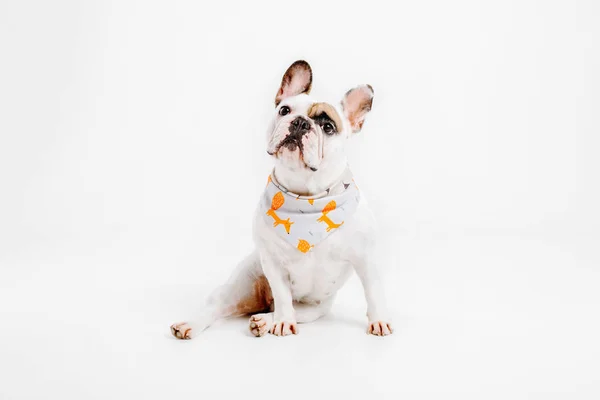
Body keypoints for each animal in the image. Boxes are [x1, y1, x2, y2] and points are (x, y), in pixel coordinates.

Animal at [170, 61, 394, 340]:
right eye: (284, 110)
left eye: (328, 127)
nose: (300, 122)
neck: (307, 198)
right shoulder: (273, 263)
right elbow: (283, 295)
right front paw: (284, 323)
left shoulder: (366, 259)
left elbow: (373, 292)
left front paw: (379, 320)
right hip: (240, 284)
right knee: (219, 307)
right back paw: (194, 324)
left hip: (315, 310)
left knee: (287, 311)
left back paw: (263, 321)